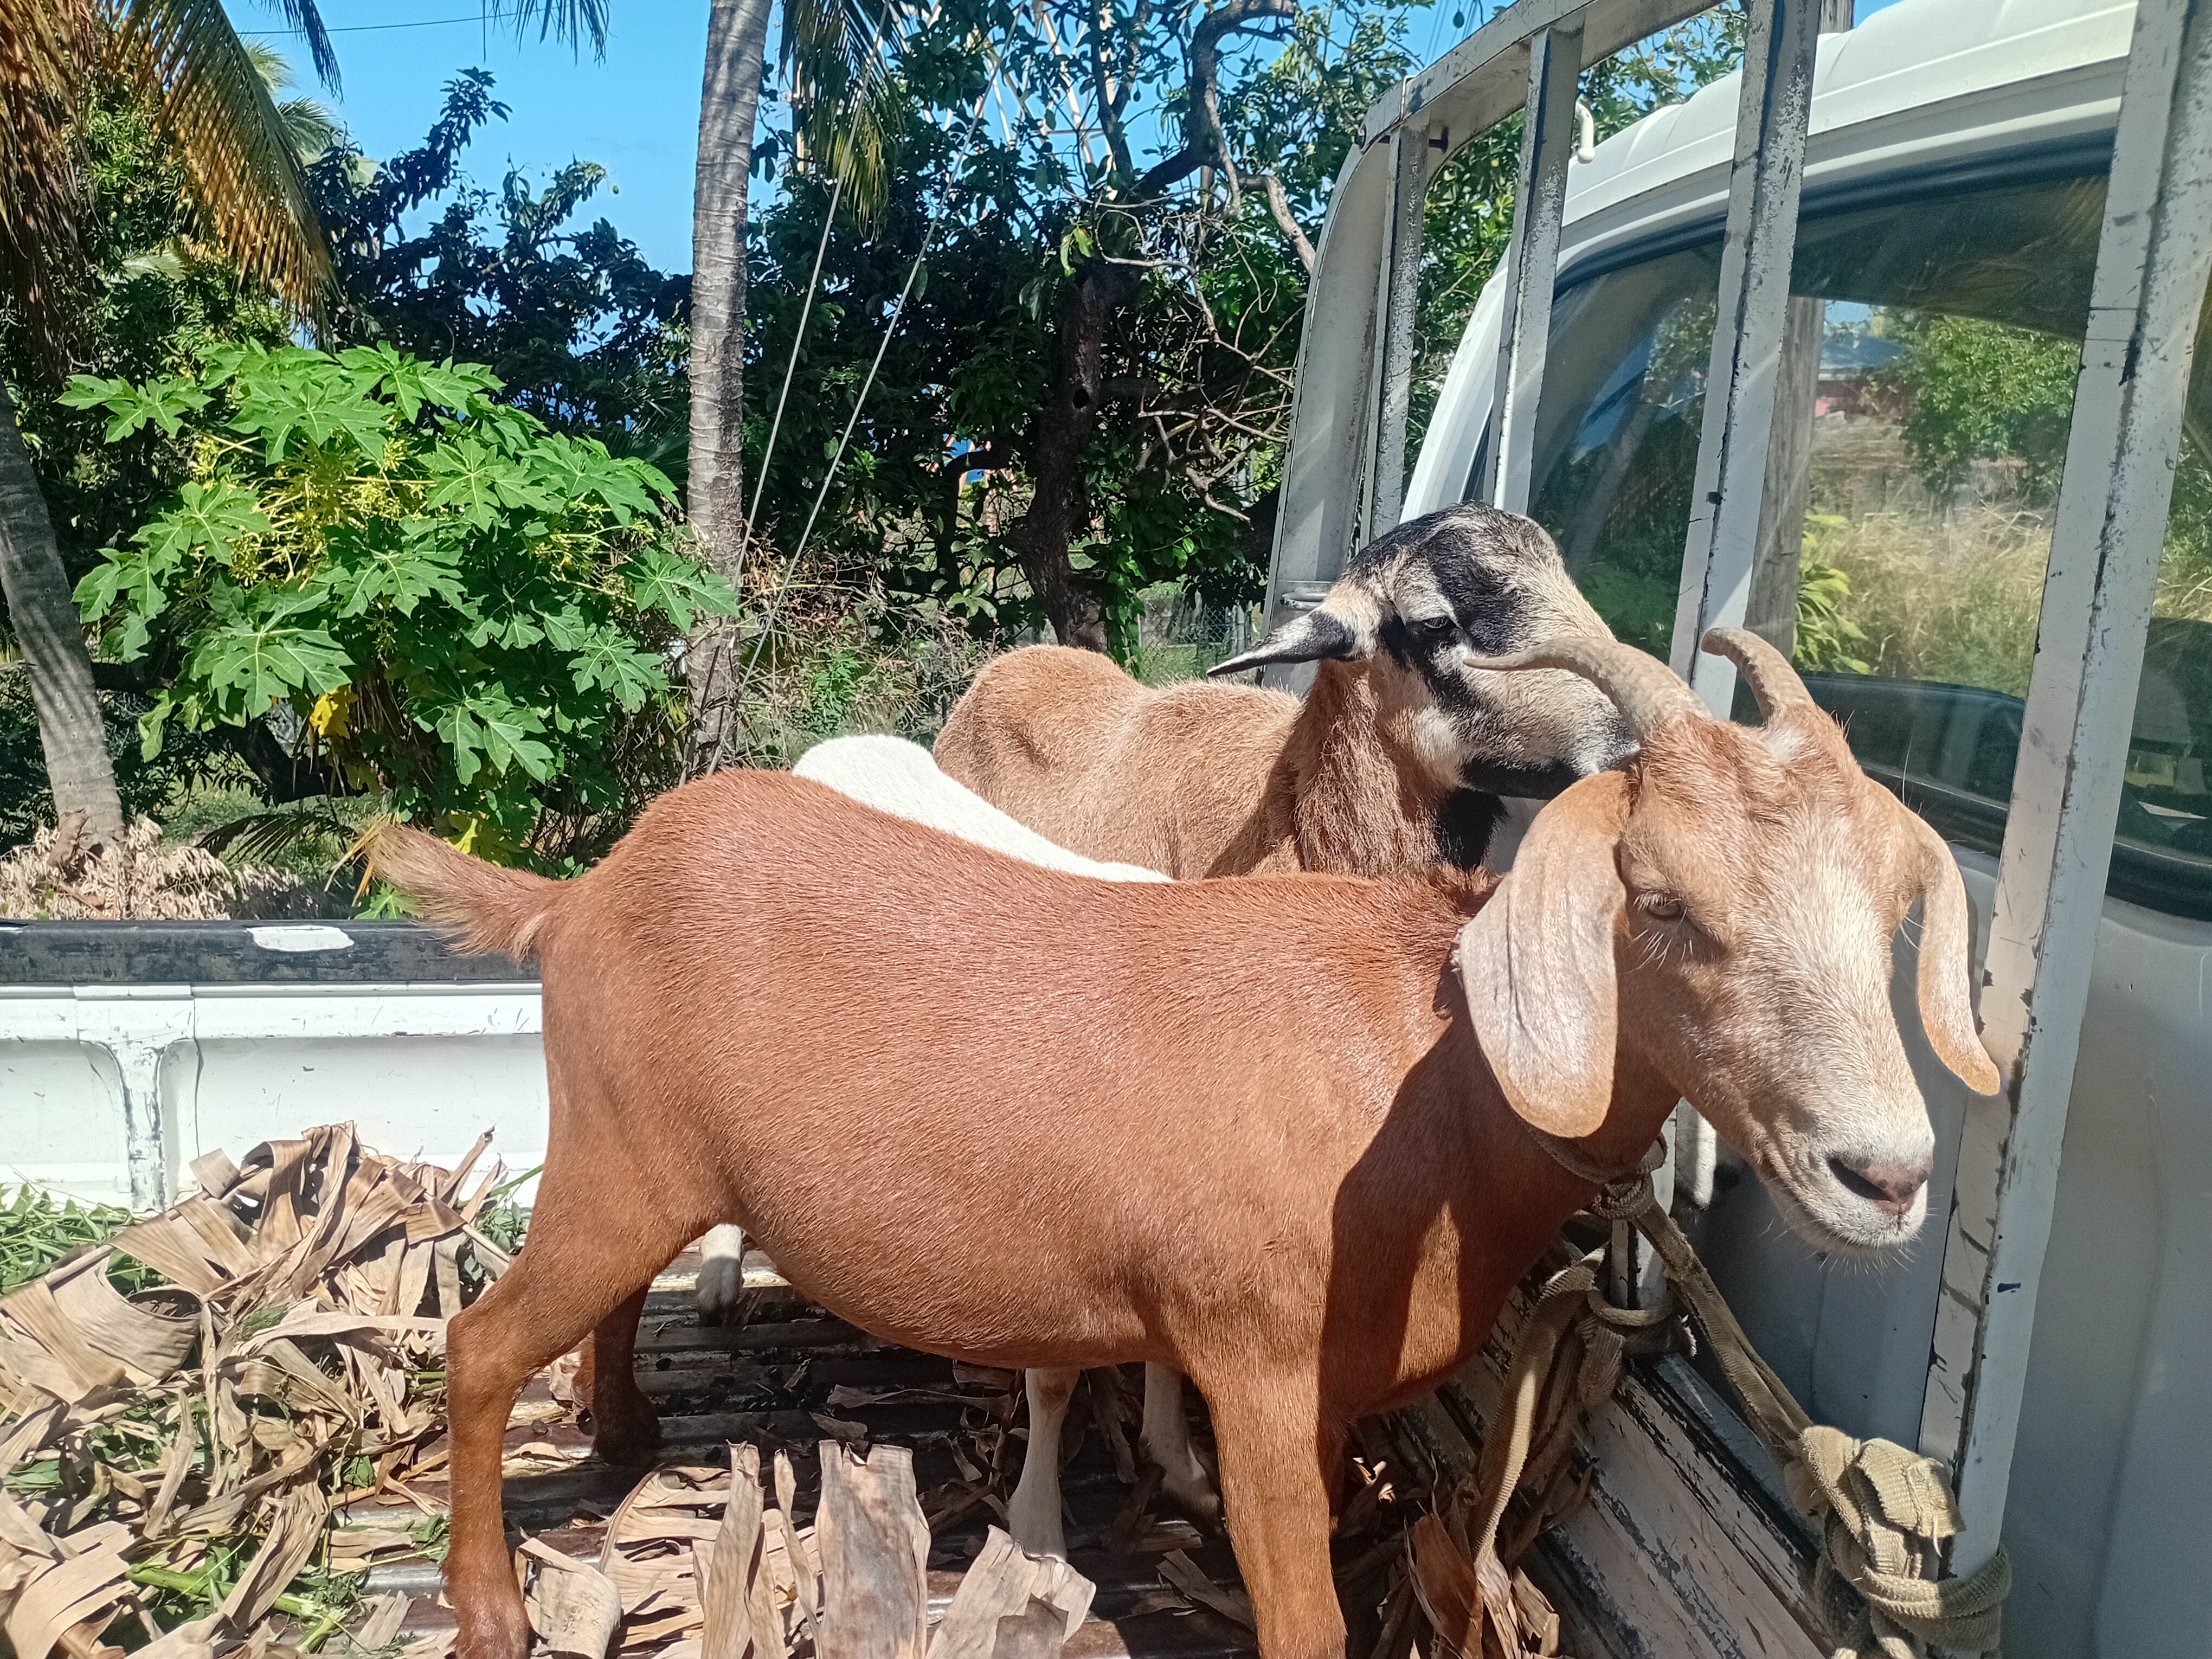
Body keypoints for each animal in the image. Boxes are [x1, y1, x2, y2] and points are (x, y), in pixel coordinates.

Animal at [371, 630, 1999, 1659]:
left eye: (1893, 906)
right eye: (1656, 898)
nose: (1883, 1173)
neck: (1428, 1072)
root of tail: (578, 895)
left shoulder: (1322, 1387)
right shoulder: (1258, 1356)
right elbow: (1301, 1621)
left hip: (637, 1164)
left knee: (592, 1312)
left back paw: (628, 1435)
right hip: (618, 1162)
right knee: (480, 1344)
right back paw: (497, 1609)